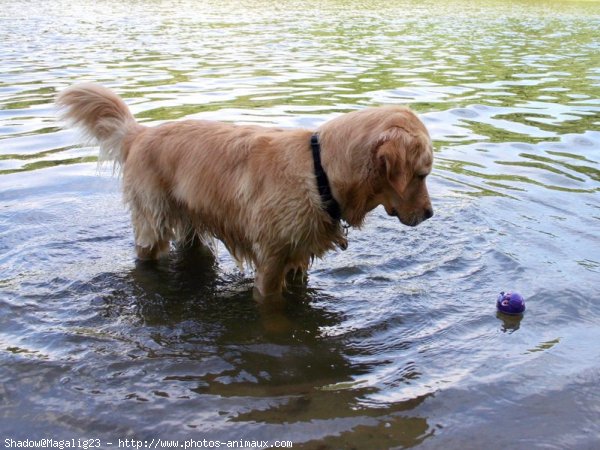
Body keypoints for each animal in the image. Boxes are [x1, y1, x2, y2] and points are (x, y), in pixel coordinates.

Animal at [57, 83, 432, 298]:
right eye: (421, 174)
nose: (430, 214)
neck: (319, 172)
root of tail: (140, 133)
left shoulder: (299, 258)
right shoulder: (271, 262)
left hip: (192, 225)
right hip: (152, 224)